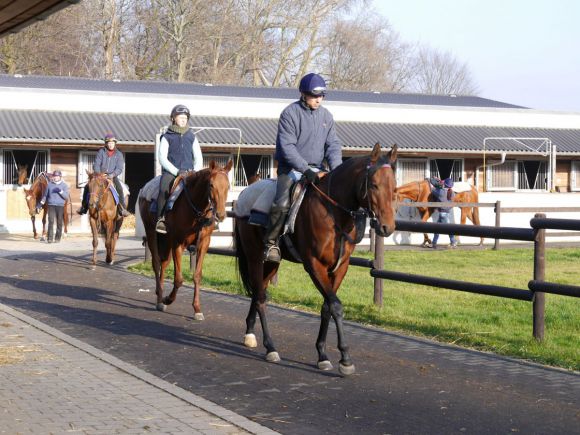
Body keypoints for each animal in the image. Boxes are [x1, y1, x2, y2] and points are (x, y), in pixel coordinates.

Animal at [139, 160, 232, 320]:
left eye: (228, 186)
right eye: (211, 185)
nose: (220, 215)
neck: (196, 210)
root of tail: (145, 189)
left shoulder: (203, 243)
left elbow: (197, 275)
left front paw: (197, 309)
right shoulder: (178, 243)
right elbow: (179, 279)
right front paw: (168, 299)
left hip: (166, 240)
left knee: (164, 263)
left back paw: (160, 293)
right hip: (151, 233)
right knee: (156, 263)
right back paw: (160, 300)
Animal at [233, 145, 396, 376]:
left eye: (394, 186)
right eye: (374, 185)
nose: (387, 227)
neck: (334, 214)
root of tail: (245, 195)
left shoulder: (339, 267)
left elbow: (327, 307)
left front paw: (322, 354)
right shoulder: (314, 265)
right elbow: (335, 305)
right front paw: (345, 359)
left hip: (272, 263)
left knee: (258, 292)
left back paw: (249, 333)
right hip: (255, 257)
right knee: (262, 298)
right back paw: (270, 347)